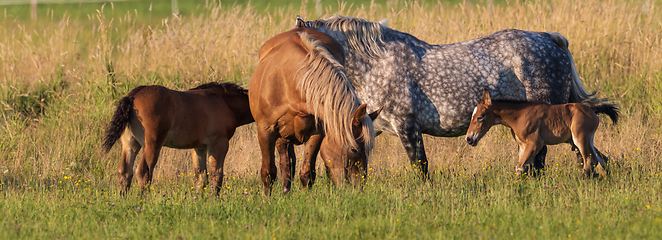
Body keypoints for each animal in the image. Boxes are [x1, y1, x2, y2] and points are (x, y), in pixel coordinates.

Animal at [103, 82, 254, 195]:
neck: (223, 101)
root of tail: (132, 96)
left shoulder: (198, 148)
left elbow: (200, 177)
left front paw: (198, 200)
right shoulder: (219, 144)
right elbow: (216, 175)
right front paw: (213, 201)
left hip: (130, 144)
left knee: (124, 172)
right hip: (152, 144)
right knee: (143, 172)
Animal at [250, 28, 384, 196]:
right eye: (353, 149)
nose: (359, 189)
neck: (290, 83)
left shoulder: (317, 132)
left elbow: (307, 172)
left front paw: (307, 198)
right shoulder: (265, 131)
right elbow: (268, 171)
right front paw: (266, 199)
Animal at [296, 15, 600, 176]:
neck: (376, 63)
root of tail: (551, 39)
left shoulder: (407, 126)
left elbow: (420, 167)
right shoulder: (369, 123)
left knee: (547, 155)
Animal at [466, 91, 616, 177]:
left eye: (480, 117)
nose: (469, 138)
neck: (519, 115)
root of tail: (593, 111)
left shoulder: (535, 144)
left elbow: (520, 167)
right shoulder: (523, 145)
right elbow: (524, 167)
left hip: (580, 138)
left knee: (589, 161)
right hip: (588, 140)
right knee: (600, 160)